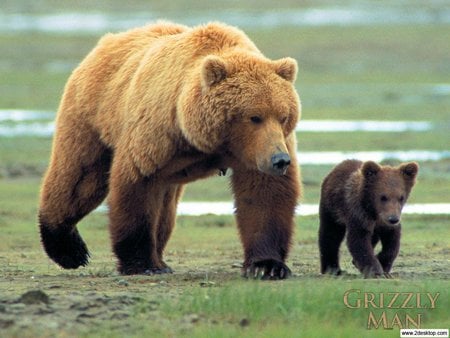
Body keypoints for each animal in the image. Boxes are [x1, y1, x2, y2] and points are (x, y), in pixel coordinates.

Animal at [37, 20, 302, 280]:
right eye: (254, 117)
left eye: (283, 116)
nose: (280, 160)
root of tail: (108, 40)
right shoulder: (157, 134)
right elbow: (137, 187)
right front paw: (141, 263)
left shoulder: (257, 151)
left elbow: (264, 195)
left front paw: (266, 266)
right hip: (92, 116)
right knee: (80, 179)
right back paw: (69, 249)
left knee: (164, 208)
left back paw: (160, 260)